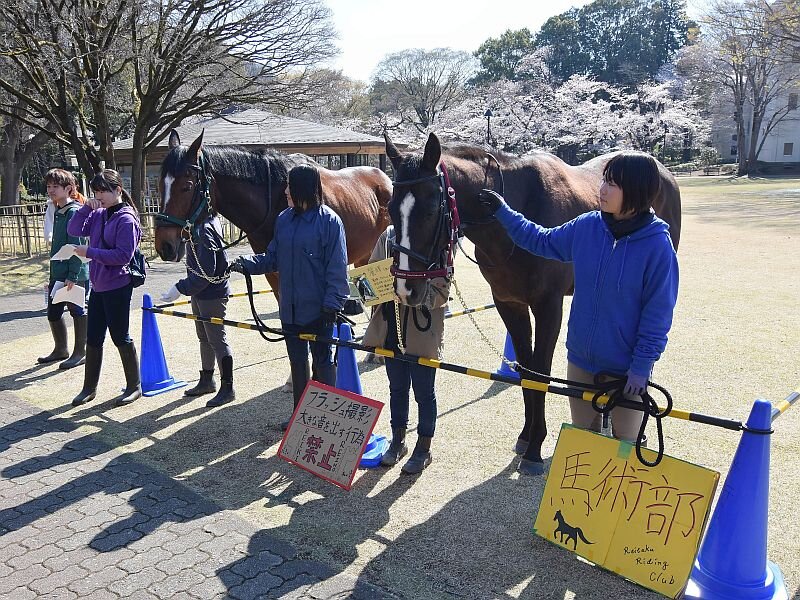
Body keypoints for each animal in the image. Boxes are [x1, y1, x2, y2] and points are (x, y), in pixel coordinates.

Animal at [154, 130, 394, 290]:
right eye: (159, 185)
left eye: (187, 187)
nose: (164, 246)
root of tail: (386, 180)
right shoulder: (273, 272)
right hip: (366, 253)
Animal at [382, 134, 680, 476]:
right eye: (390, 209)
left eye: (431, 210)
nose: (406, 288)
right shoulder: (509, 304)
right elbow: (525, 369)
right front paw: (526, 436)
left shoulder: (549, 307)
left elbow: (540, 373)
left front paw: (536, 447)